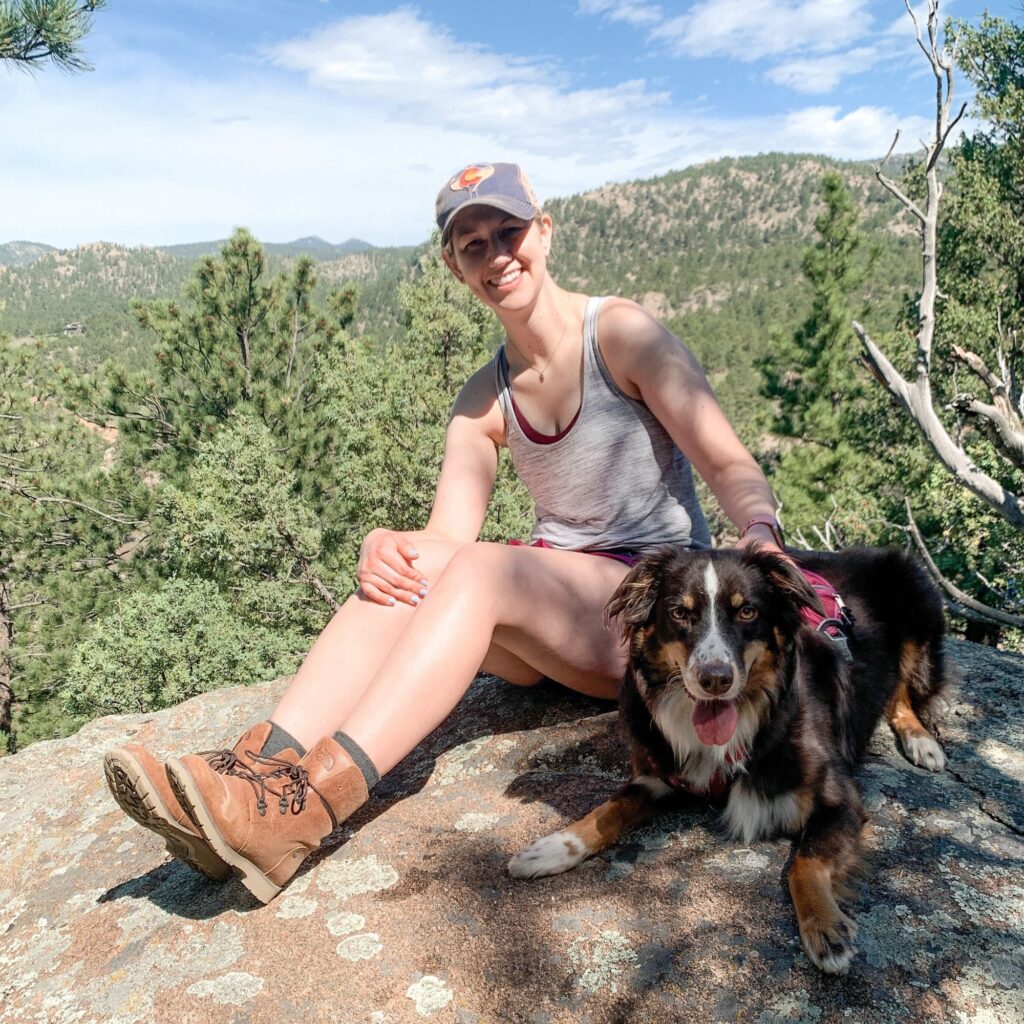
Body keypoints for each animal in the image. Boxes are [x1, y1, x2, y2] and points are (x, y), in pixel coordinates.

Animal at [507, 548, 946, 970]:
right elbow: (608, 809)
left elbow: (805, 860)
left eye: (747, 611)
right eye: (680, 613)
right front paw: (554, 847)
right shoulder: (658, 777)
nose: (715, 679)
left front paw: (824, 925)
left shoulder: (840, 799)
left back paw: (923, 742)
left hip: (920, 614)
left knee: (903, 692)